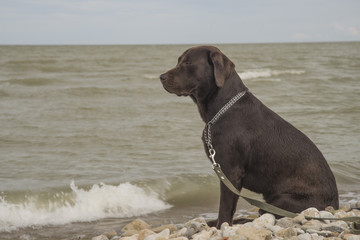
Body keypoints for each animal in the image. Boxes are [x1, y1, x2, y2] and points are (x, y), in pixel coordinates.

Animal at [159, 45, 338, 229]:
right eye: (179, 60)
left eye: (188, 62)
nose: (161, 77)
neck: (223, 106)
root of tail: (335, 205)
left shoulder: (230, 172)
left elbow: (225, 208)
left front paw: (221, 226)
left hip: (281, 200)